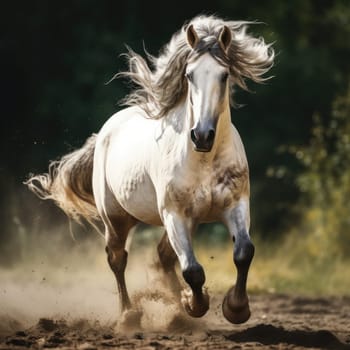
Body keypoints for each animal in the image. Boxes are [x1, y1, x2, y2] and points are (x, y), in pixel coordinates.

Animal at [27, 15, 274, 324]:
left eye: (224, 75)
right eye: (189, 75)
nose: (202, 136)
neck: (204, 160)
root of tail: (106, 131)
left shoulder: (235, 205)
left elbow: (243, 252)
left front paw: (235, 309)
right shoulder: (174, 214)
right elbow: (192, 269)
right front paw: (196, 305)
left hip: (184, 221)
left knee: (162, 256)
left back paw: (174, 307)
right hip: (117, 219)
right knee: (117, 258)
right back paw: (129, 315)